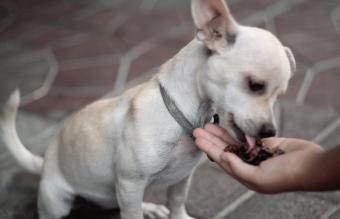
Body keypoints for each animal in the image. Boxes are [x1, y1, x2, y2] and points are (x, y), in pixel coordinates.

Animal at [0, 0, 294, 219]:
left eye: (281, 95)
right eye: (255, 86)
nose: (270, 131)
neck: (182, 117)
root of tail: (45, 163)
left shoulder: (181, 179)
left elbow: (177, 203)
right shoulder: (131, 183)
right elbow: (132, 214)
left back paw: (150, 207)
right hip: (58, 202)